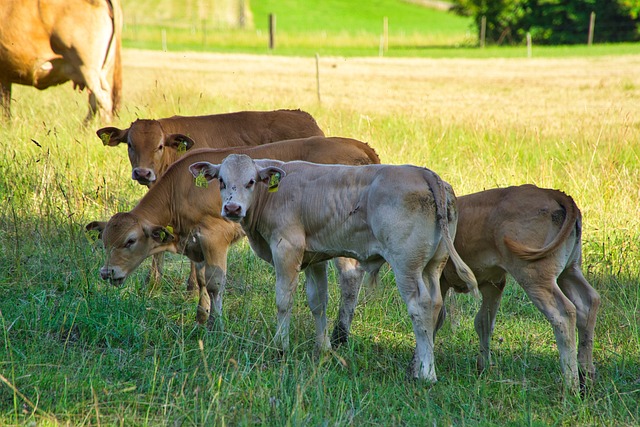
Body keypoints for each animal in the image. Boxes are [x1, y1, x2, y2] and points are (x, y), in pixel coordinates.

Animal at [85, 139, 380, 332]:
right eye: (104, 242)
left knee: (350, 277)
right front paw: (201, 317)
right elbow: (202, 279)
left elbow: (215, 283)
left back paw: (341, 332)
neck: (180, 189)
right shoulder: (196, 243)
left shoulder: (214, 237)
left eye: (130, 241)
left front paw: (216, 324)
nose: (107, 273)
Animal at [436, 185, 600, 394]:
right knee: (589, 302)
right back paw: (586, 376)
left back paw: (570, 385)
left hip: (534, 277)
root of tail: (555, 194)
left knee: (564, 313)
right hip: (570, 270)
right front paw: (483, 367)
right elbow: (483, 322)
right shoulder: (493, 283)